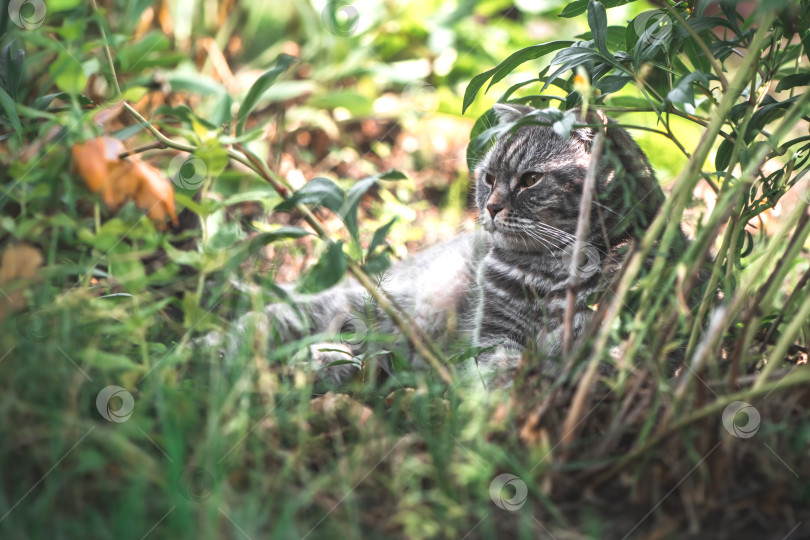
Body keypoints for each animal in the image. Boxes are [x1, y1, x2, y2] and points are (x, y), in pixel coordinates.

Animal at [238, 102, 676, 388]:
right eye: (489, 178)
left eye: (531, 180)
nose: (493, 207)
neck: (549, 271)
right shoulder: (494, 332)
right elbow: (499, 368)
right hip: (384, 304)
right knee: (276, 314)